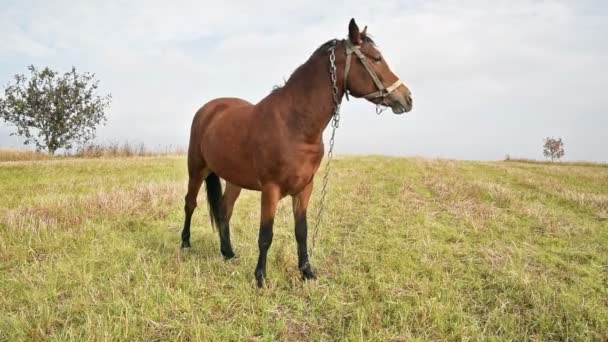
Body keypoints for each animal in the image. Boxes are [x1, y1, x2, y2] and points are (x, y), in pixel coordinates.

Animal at [180, 17, 414, 288]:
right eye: (376, 58)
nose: (407, 98)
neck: (295, 124)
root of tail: (208, 109)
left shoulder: (304, 188)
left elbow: (301, 231)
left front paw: (307, 272)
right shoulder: (270, 189)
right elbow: (266, 234)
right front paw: (260, 278)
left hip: (234, 178)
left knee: (224, 210)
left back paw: (228, 253)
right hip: (197, 168)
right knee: (190, 203)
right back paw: (185, 243)